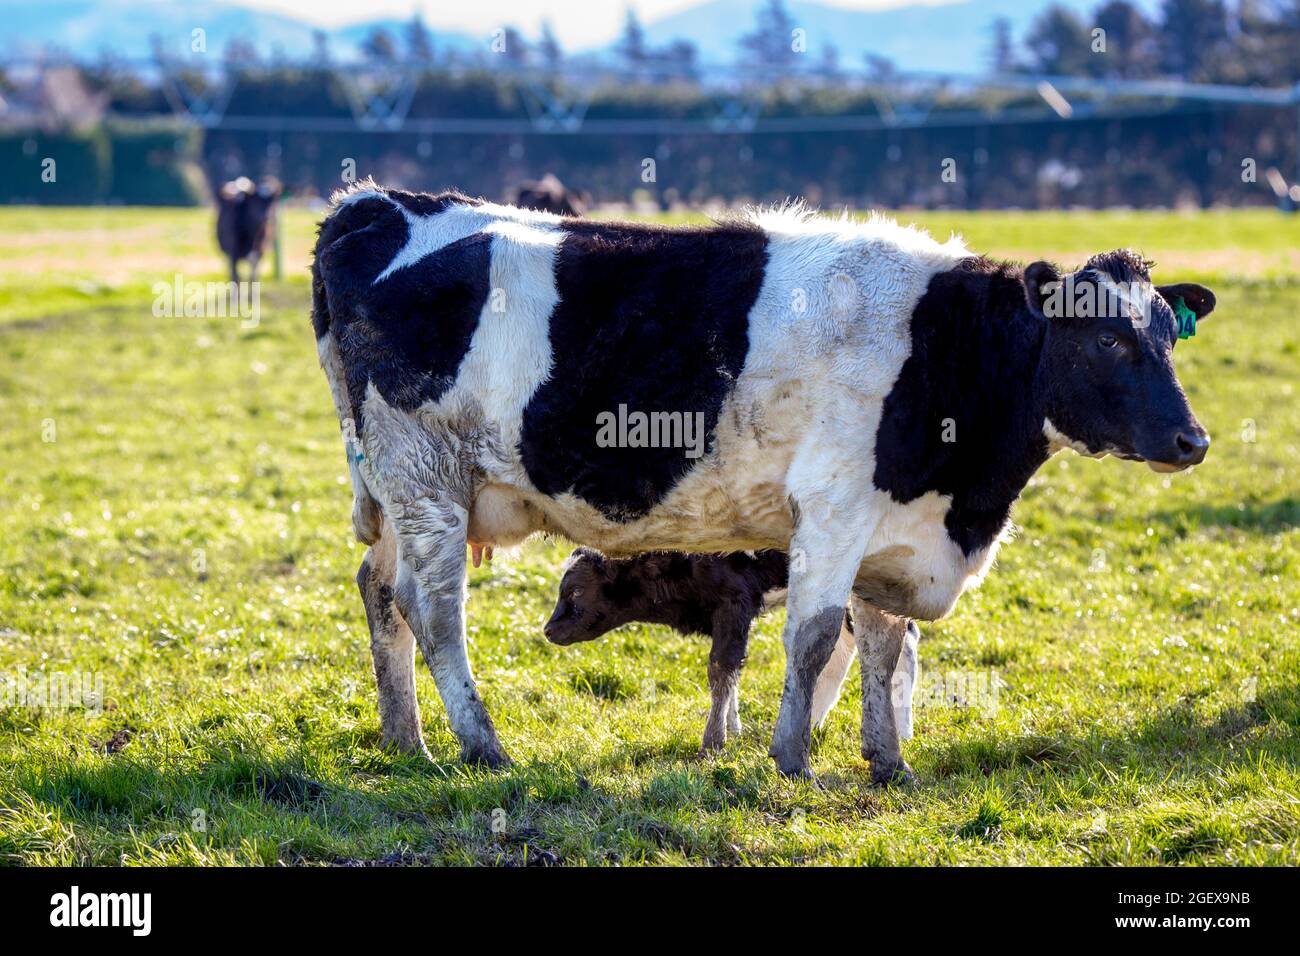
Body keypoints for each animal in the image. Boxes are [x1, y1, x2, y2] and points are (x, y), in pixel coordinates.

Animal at [543, 548, 920, 749]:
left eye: (575, 591)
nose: (547, 630)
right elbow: (732, 670)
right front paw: (734, 729)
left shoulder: (734, 602)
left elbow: (720, 669)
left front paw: (713, 742)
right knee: (845, 647)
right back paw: (811, 724)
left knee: (902, 643)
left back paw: (901, 731)